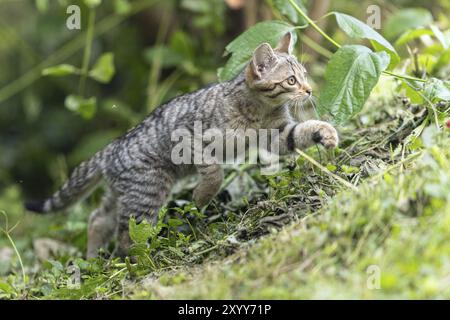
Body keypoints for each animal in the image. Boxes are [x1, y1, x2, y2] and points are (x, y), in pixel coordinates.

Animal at [25, 32, 338, 258]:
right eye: (291, 80)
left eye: (304, 75)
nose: (309, 90)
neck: (258, 109)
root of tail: (111, 148)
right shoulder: (189, 138)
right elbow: (213, 173)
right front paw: (201, 196)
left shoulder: (277, 134)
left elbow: (300, 132)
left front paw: (325, 132)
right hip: (148, 192)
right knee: (126, 233)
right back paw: (140, 258)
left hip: (124, 192)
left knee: (98, 219)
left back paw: (92, 259)